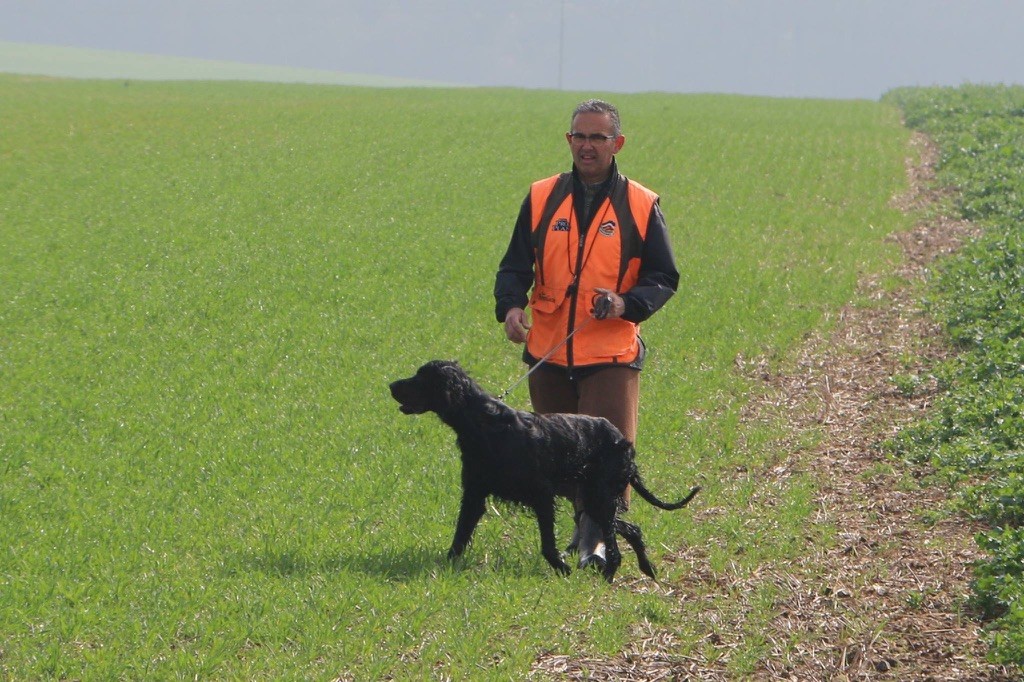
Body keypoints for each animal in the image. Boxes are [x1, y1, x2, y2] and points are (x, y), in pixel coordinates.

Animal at [387, 358, 700, 581]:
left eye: (420, 377)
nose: (390, 385)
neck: (484, 425)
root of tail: (622, 440)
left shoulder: (542, 496)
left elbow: (547, 544)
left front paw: (562, 569)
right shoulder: (475, 494)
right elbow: (460, 535)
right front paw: (445, 566)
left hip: (600, 496)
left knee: (614, 545)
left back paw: (610, 575)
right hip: (593, 498)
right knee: (630, 529)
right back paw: (647, 569)